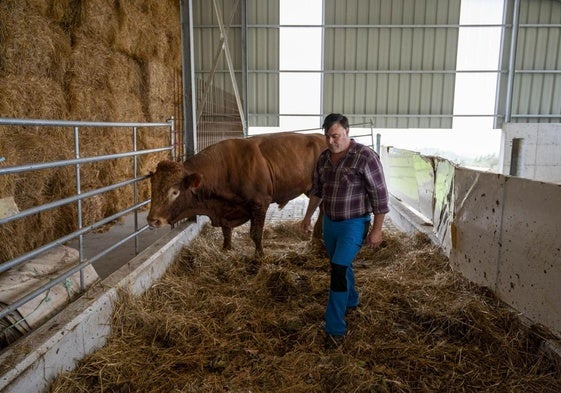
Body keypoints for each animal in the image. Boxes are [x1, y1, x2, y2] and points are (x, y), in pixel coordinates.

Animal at [147, 130, 326, 256]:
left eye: (175, 192)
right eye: (153, 189)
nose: (152, 220)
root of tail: (321, 137)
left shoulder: (260, 203)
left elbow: (256, 234)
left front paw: (259, 255)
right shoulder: (225, 211)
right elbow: (226, 231)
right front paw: (226, 249)